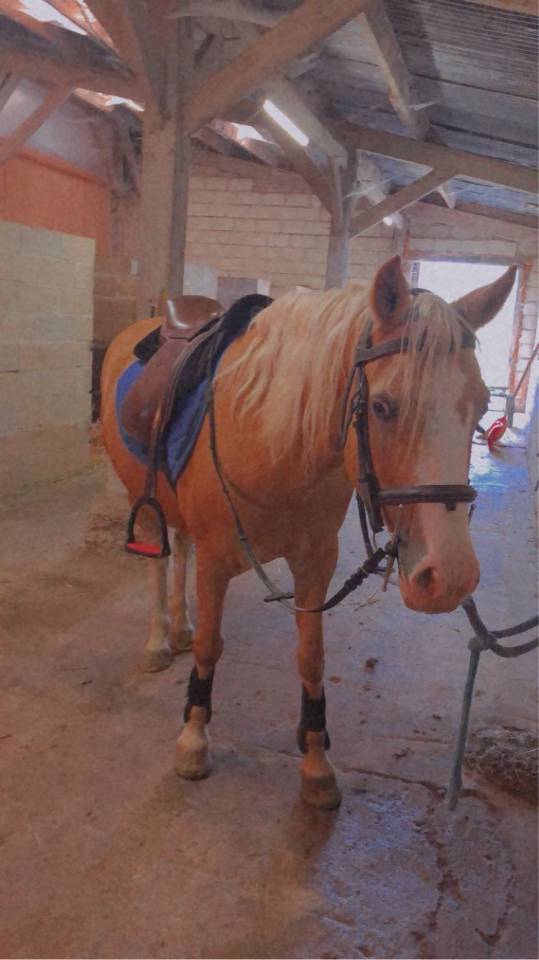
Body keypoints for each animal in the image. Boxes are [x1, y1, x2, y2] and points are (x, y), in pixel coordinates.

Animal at [101, 255, 516, 809]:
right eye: (382, 406)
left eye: (480, 408)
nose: (449, 576)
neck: (271, 438)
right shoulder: (216, 561)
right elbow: (212, 644)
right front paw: (193, 738)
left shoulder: (316, 561)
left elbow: (312, 657)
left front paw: (317, 763)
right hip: (141, 497)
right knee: (161, 559)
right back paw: (159, 641)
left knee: (180, 548)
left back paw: (180, 624)